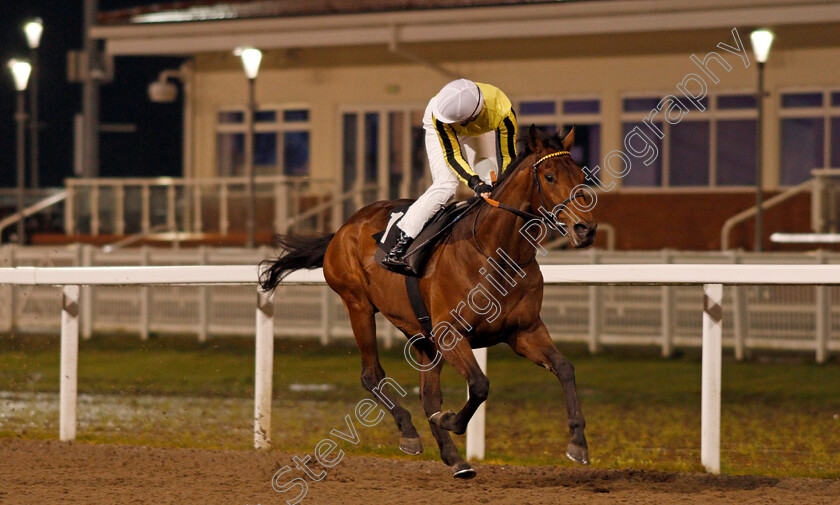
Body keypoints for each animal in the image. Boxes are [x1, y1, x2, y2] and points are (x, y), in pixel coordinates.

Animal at [262, 125, 596, 476]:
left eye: (581, 176)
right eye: (549, 176)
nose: (585, 229)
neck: (497, 253)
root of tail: (343, 228)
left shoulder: (524, 331)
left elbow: (564, 367)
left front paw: (578, 442)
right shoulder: (450, 334)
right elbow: (479, 384)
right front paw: (450, 420)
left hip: (422, 335)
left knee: (427, 394)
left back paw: (455, 459)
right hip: (358, 306)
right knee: (372, 375)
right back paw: (409, 432)